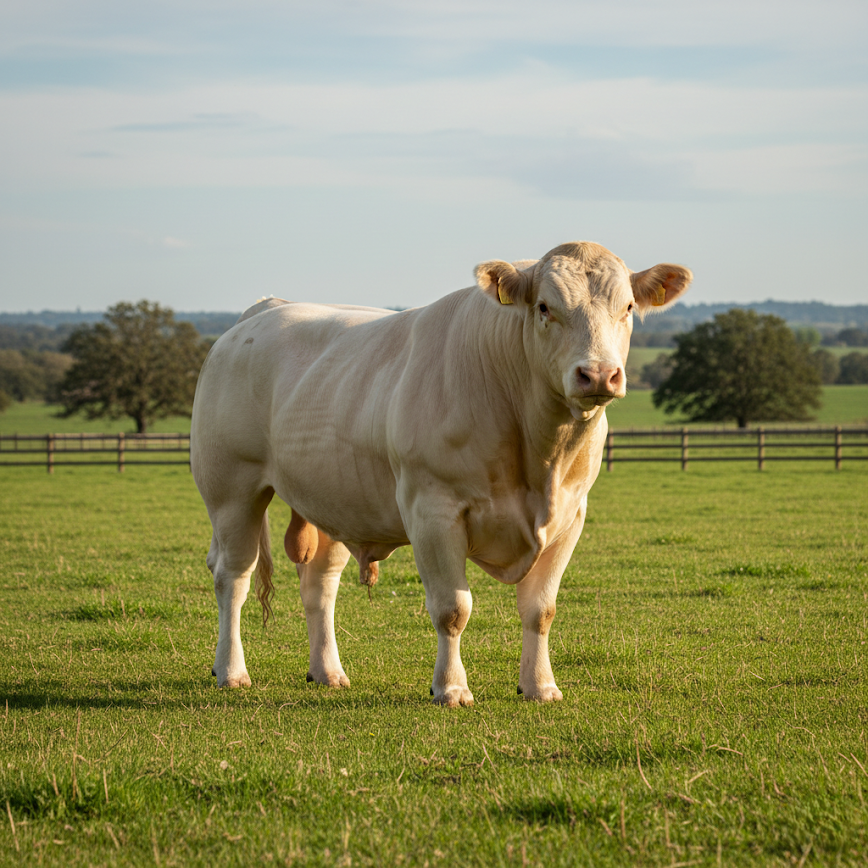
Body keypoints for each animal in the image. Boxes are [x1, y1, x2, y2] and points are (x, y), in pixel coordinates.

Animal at [190, 241, 692, 706]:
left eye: (628, 308)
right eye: (545, 307)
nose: (599, 374)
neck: (539, 456)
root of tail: (265, 308)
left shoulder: (571, 516)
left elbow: (540, 609)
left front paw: (540, 686)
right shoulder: (432, 510)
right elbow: (453, 608)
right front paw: (450, 688)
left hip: (331, 498)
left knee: (319, 583)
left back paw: (328, 671)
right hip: (231, 490)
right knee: (233, 575)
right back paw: (231, 671)